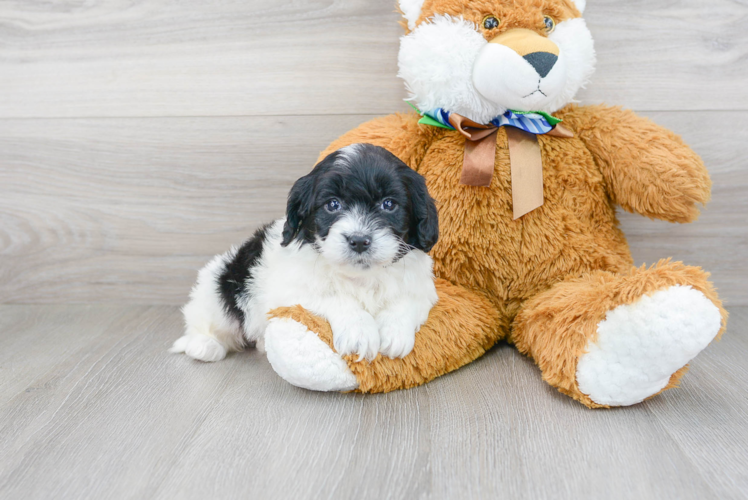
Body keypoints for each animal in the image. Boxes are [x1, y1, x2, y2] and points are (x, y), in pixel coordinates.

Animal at [171, 144, 438, 364]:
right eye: (332, 205)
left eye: (389, 204)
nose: (359, 241)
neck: (360, 277)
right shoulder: (292, 290)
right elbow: (335, 297)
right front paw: (359, 332)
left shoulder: (423, 288)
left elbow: (408, 300)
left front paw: (395, 333)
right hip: (219, 289)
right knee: (206, 319)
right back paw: (203, 345)